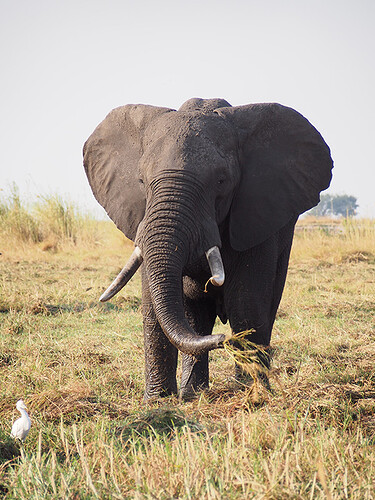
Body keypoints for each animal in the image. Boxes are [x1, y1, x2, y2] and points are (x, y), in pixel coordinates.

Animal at [83, 97, 334, 400]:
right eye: (141, 181)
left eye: (222, 180)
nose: (222, 340)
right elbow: (153, 301)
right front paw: (158, 401)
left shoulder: (255, 215)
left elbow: (246, 298)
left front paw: (251, 397)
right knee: (195, 313)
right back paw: (193, 393)